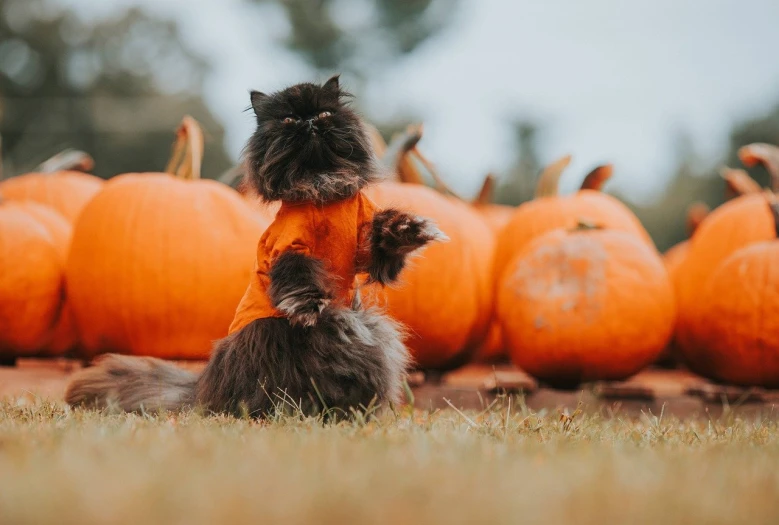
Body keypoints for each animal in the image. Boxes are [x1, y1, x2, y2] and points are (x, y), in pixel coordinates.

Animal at [64, 74, 448, 418]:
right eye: (289, 119)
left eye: (324, 114)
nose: (310, 122)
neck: (321, 187)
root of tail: (204, 389)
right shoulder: (290, 249)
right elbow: (298, 280)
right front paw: (309, 309)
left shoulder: (367, 248)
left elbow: (387, 241)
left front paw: (411, 228)